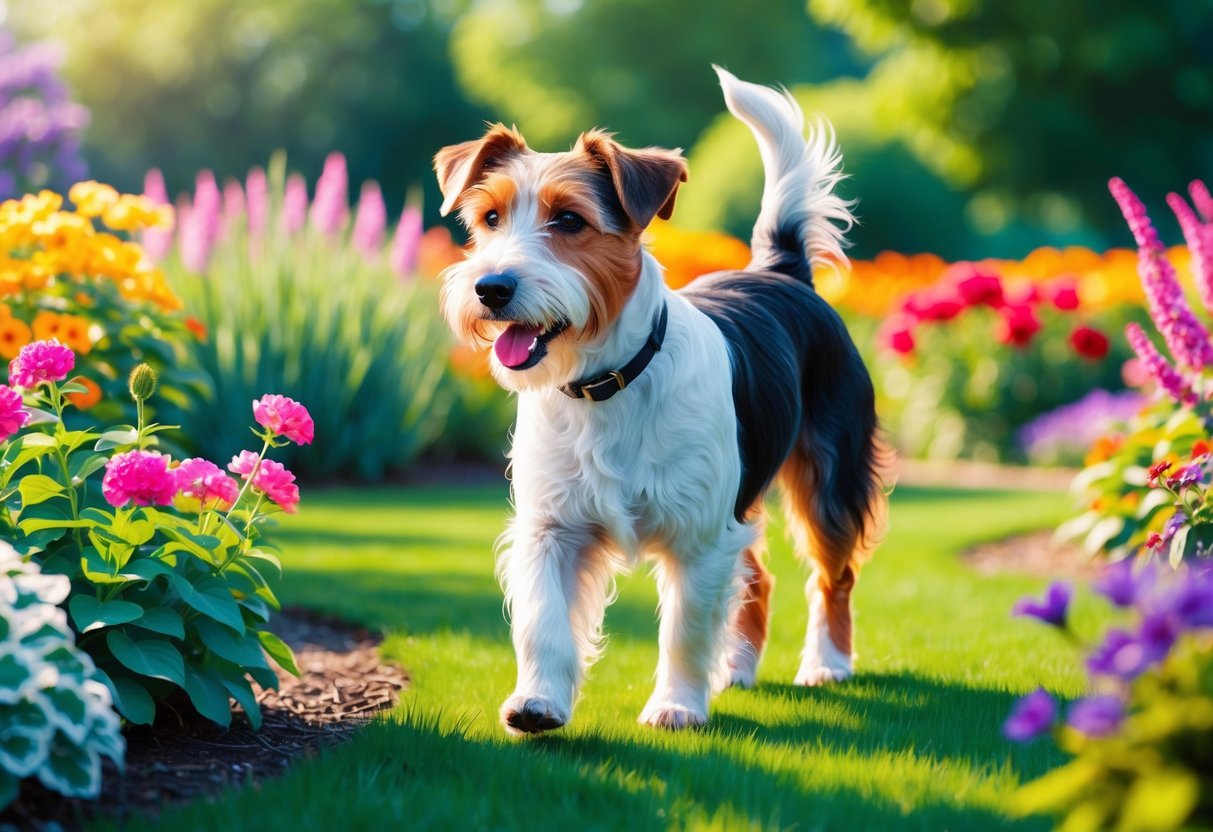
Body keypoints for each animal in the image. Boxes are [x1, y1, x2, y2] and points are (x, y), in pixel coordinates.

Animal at [434, 70, 883, 737]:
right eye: (489, 217)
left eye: (569, 220)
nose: (491, 288)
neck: (606, 383)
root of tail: (780, 271)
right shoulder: (550, 527)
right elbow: (544, 621)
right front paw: (537, 702)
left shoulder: (700, 533)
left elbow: (686, 629)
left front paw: (676, 705)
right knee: (759, 576)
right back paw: (738, 668)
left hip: (828, 482)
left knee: (834, 576)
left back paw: (827, 663)